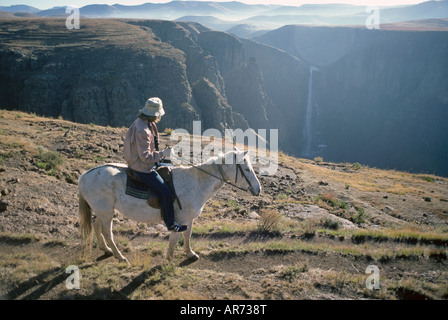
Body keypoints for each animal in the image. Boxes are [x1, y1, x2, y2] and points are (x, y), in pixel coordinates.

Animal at [76, 149, 260, 264]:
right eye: (246, 168)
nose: (258, 189)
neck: (196, 182)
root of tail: (85, 175)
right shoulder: (179, 220)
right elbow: (174, 238)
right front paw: (170, 259)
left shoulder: (188, 219)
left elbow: (187, 235)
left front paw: (190, 253)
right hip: (106, 213)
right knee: (107, 233)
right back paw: (119, 256)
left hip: (102, 212)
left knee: (97, 227)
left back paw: (106, 250)